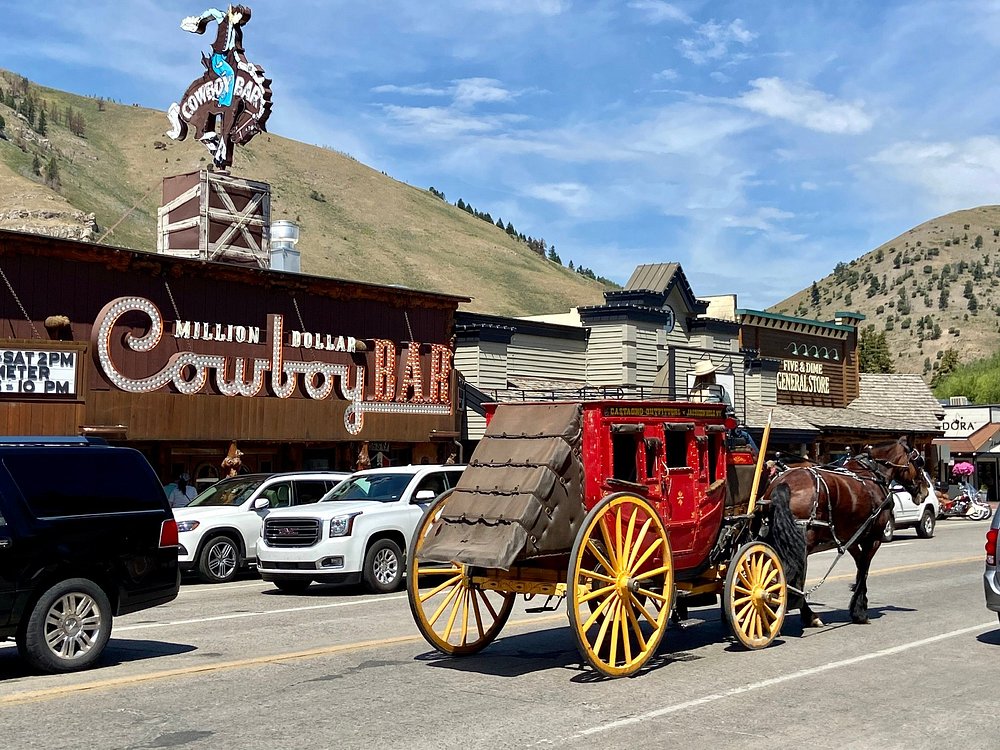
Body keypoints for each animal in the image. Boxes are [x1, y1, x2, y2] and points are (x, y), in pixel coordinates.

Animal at [764, 440, 928, 628]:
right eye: (919, 462)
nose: (925, 490)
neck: (872, 474)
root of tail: (782, 483)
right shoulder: (873, 538)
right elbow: (864, 570)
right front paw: (860, 611)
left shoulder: (850, 539)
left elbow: (859, 567)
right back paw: (807, 615)